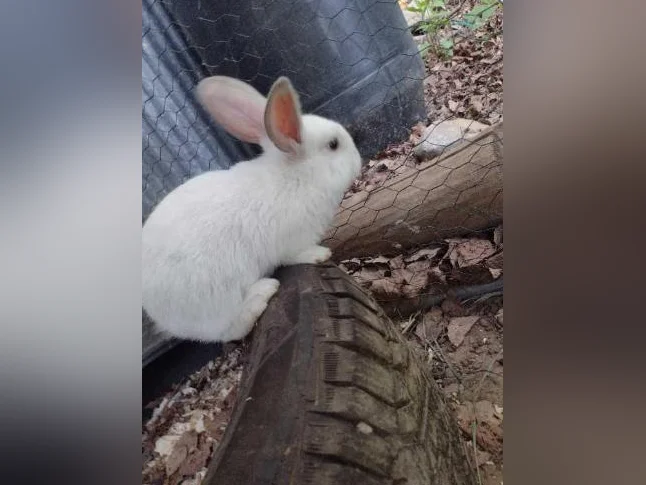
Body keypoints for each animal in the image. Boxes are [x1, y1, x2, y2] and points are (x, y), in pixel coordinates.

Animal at [142, 75, 362, 342]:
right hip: (216, 300)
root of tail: (155, 311)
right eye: (333, 144)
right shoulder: (293, 242)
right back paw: (262, 293)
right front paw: (321, 254)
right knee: (230, 329)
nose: (359, 158)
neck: (299, 177)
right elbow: (297, 255)